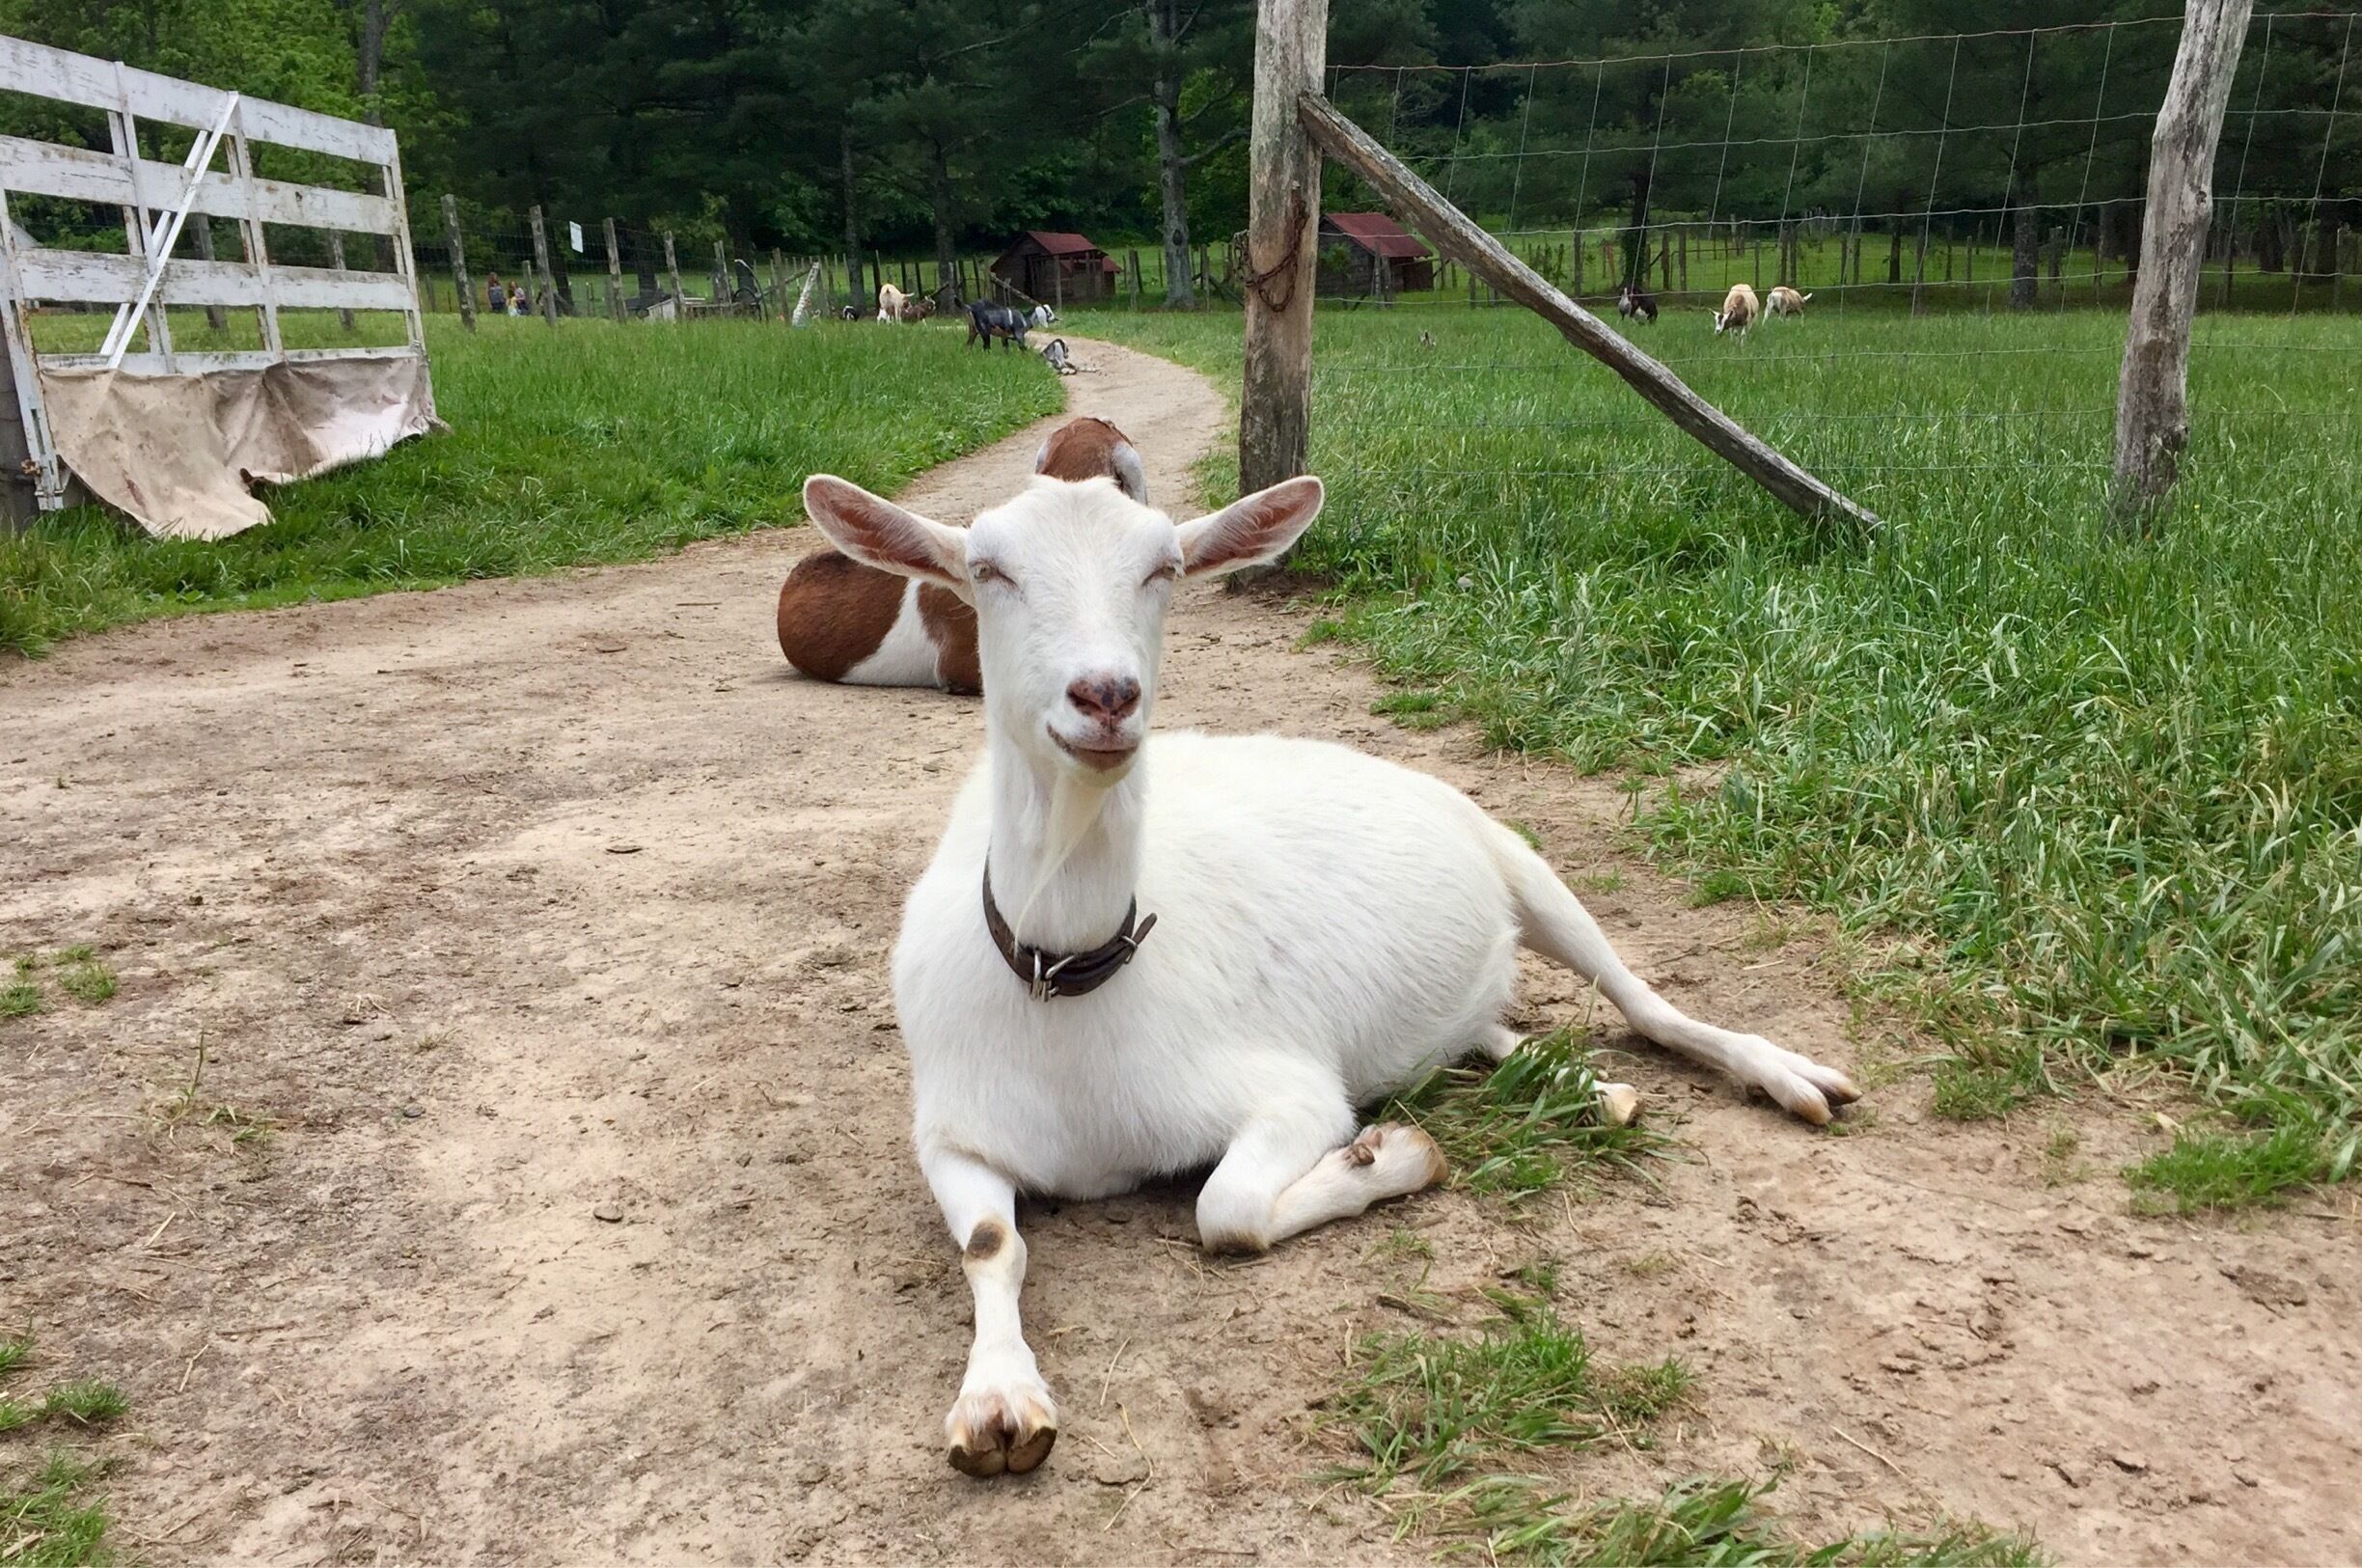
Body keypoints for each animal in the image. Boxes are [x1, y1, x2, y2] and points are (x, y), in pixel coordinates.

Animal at [796, 467, 1862, 1480]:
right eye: (987, 568)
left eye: (1165, 567)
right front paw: (996, 1403)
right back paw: (1585, 1088)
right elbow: (991, 1243)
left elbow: (1226, 1213)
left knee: (1644, 1004)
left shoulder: (1289, 1089)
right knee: (1496, 1031)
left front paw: (1388, 1157)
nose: (1106, 695)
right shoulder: (953, 1128)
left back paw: (1779, 1074)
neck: (1068, 979)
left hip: (1523, 860)